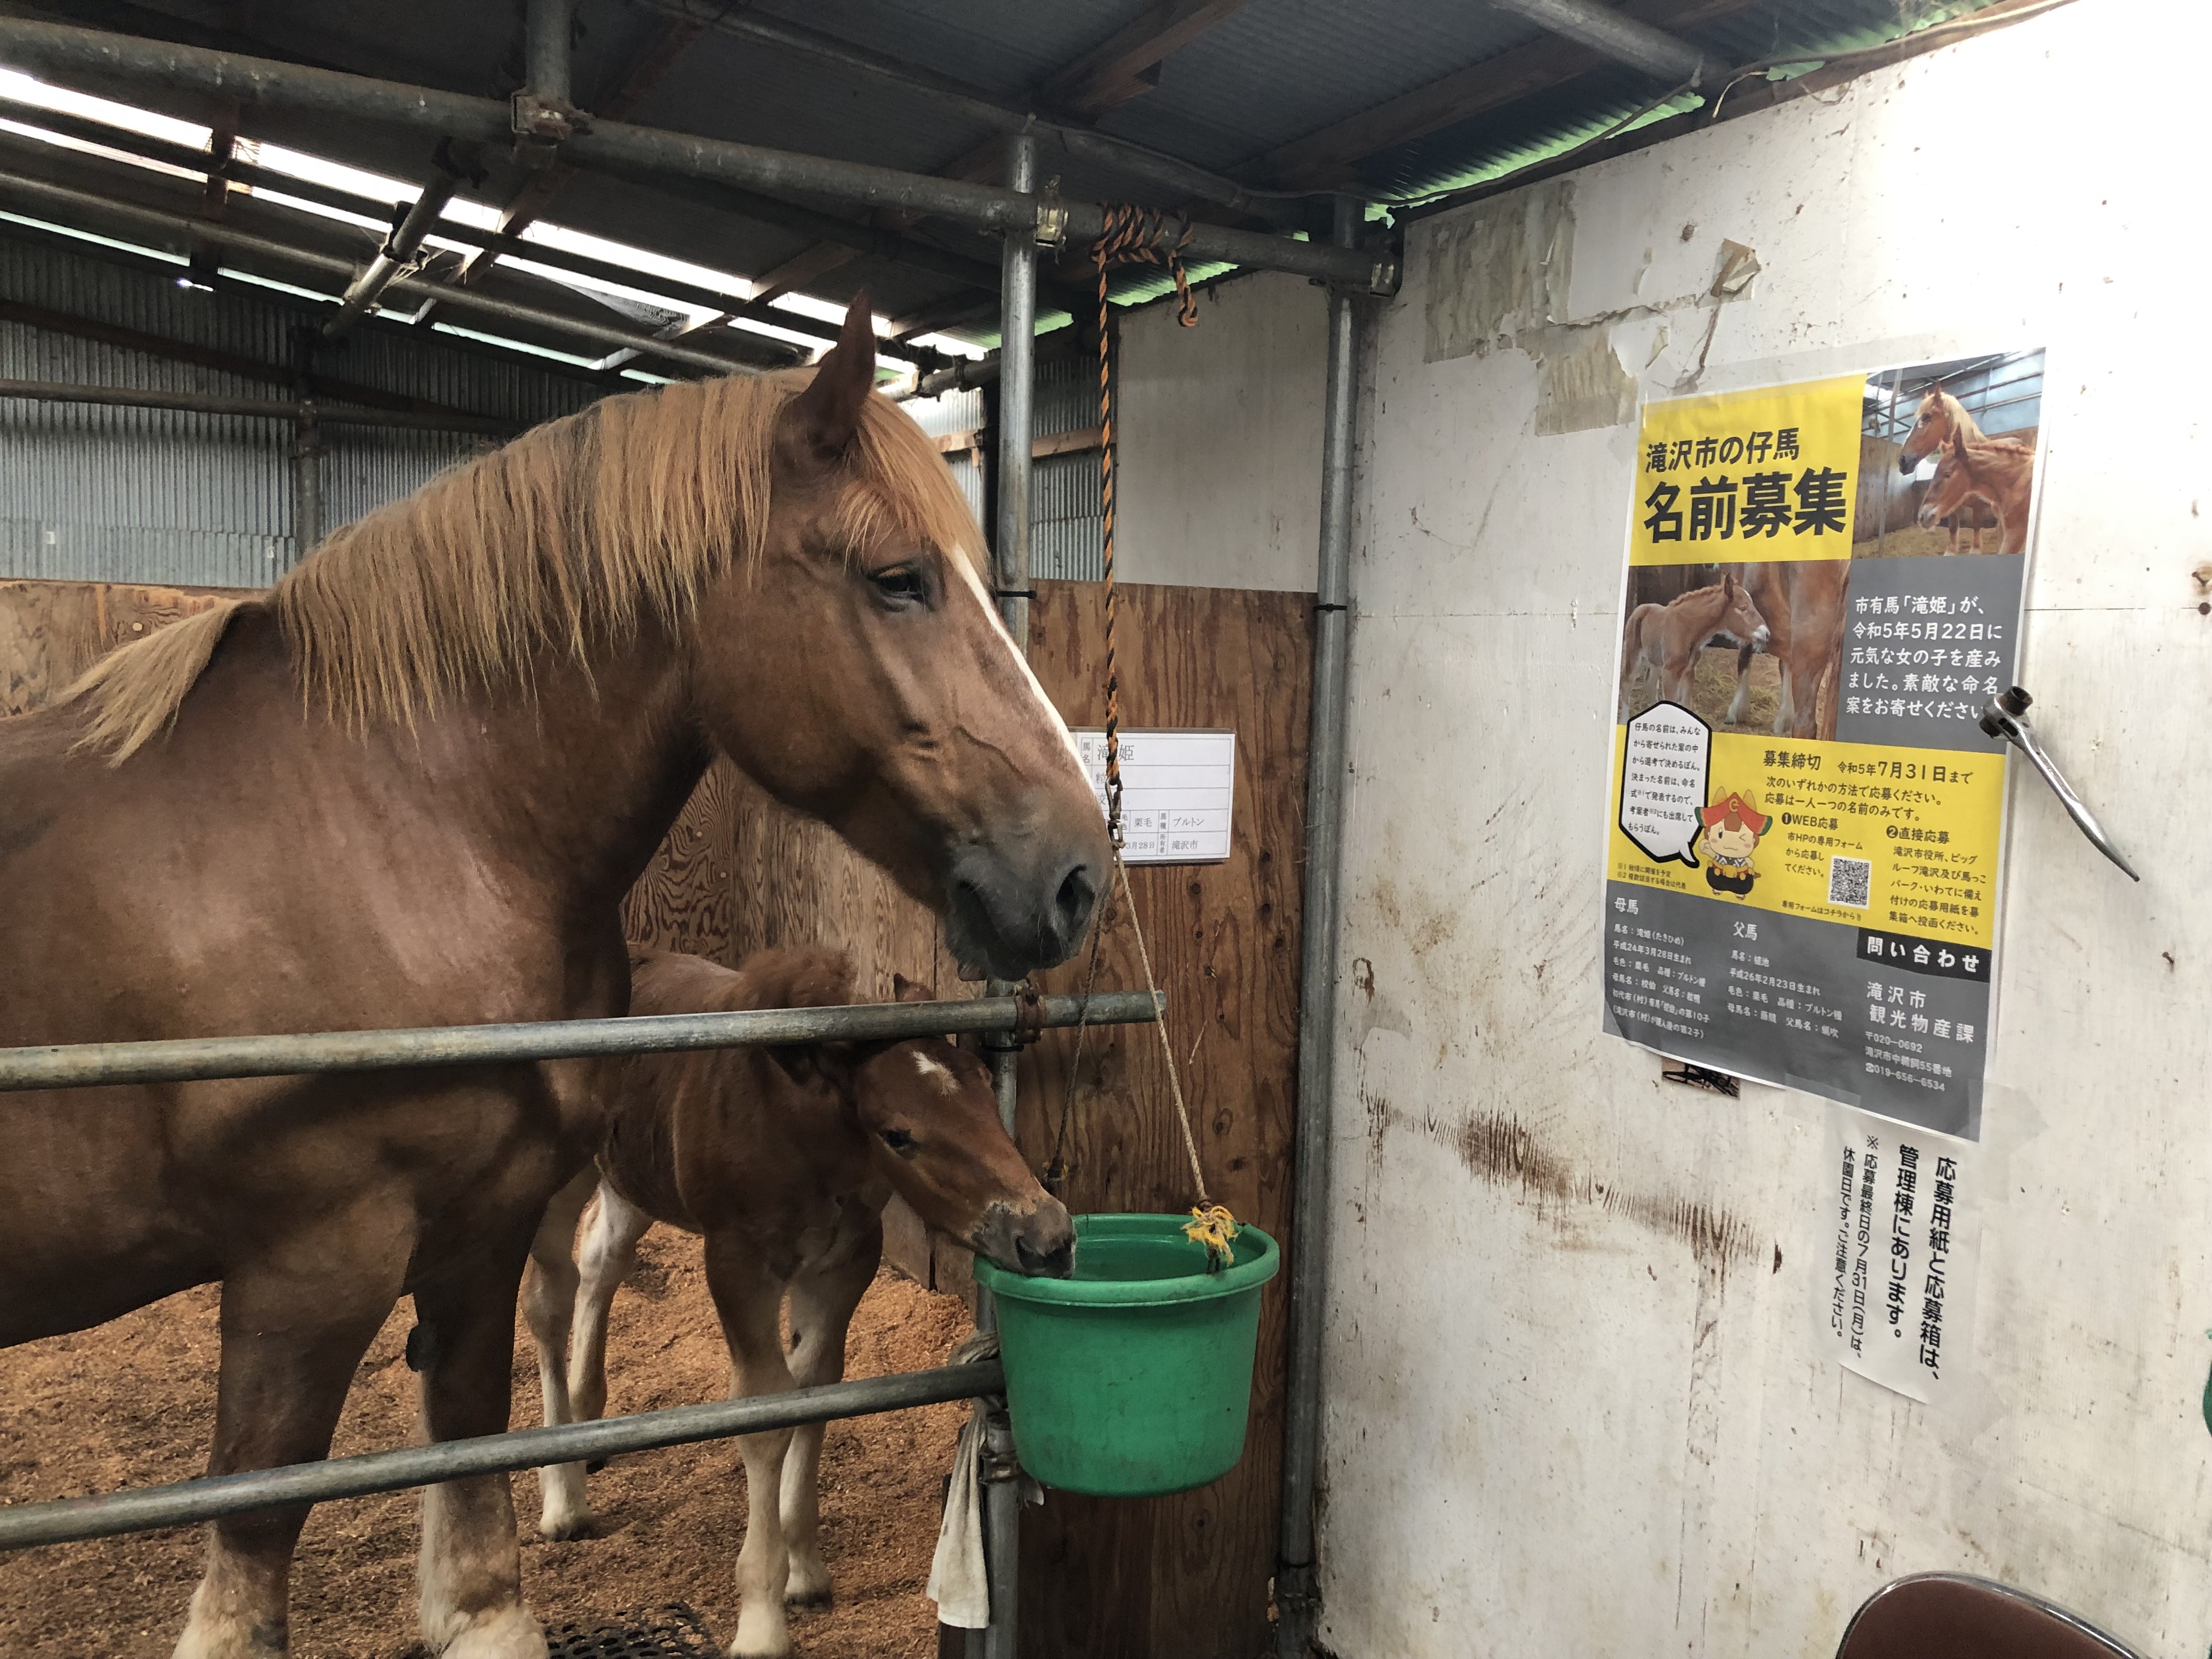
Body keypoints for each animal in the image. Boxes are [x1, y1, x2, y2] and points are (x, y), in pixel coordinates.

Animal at [521, 946, 1070, 1659]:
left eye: (984, 1092)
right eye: (898, 1135)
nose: (1048, 1237)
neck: (798, 1131)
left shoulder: (843, 1263)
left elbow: (814, 1394)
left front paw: (803, 1570)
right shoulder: (739, 1267)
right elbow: (764, 1413)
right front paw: (760, 1621)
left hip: (630, 1174)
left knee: (601, 1258)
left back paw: (590, 1424)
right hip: (561, 1179)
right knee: (548, 1299)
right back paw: (562, 1497)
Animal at [1619, 572, 1769, 717]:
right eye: (1743, 608)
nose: (1767, 634)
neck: (1687, 629)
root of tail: (1641, 607)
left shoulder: (1689, 671)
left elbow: (1685, 704)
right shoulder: (1670, 672)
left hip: (1656, 660)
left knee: (1650, 682)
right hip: (1634, 654)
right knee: (1627, 682)